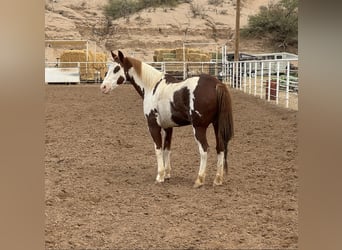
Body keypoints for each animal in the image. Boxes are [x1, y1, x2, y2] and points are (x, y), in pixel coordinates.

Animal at [99, 50, 232, 188]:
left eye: (116, 68)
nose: (103, 87)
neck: (152, 87)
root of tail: (217, 84)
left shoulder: (153, 126)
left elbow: (158, 149)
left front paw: (160, 176)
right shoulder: (168, 127)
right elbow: (167, 149)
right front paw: (167, 174)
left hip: (199, 128)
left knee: (204, 150)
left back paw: (199, 180)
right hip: (217, 125)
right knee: (220, 148)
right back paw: (218, 180)